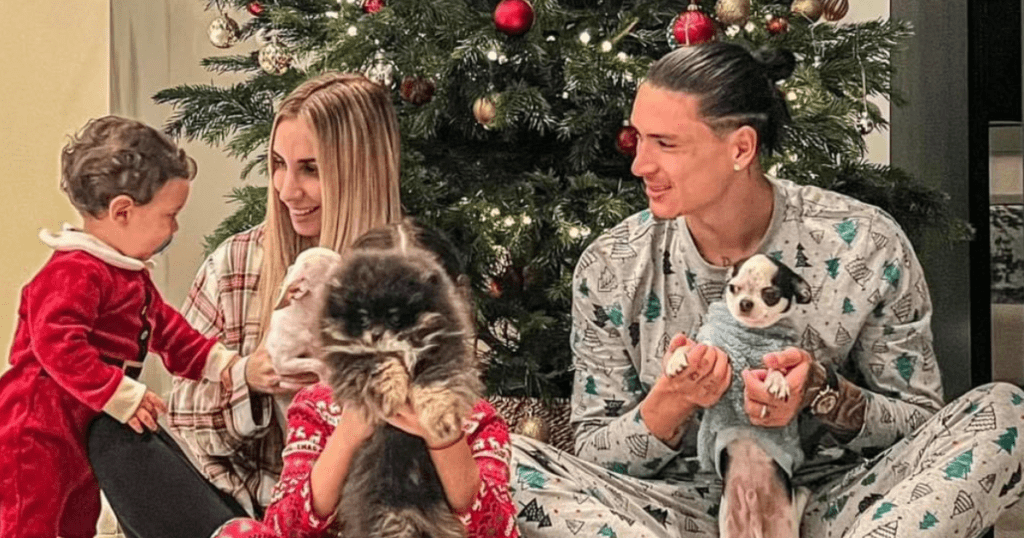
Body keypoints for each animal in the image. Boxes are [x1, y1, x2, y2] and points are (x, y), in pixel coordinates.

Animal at [321, 225, 481, 536]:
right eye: (362, 317)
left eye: (395, 318)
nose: (376, 334)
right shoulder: (348, 357)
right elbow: (376, 364)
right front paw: (390, 390)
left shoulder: (443, 353)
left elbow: (435, 385)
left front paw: (440, 418)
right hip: (388, 513)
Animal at [667, 254, 811, 536]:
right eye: (733, 288)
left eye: (770, 294)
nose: (745, 303)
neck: (751, 332)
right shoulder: (712, 346)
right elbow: (694, 346)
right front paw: (677, 358)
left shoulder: (779, 355)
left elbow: (777, 368)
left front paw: (777, 382)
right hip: (729, 523)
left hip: (787, 521)